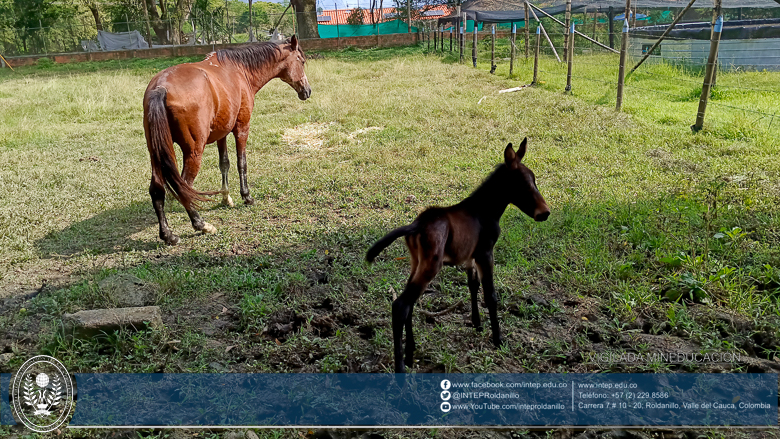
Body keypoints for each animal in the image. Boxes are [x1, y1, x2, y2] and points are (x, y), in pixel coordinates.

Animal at [143, 36, 310, 246]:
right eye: (301, 61)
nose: (307, 90)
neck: (239, 70)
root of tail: (160, 88)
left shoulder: (221, 134)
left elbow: (224, 164)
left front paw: (226, 197)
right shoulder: (241, 128)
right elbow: (241, 163)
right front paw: (246, 196)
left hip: (157, 154)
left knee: (157, 189)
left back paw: (168, 235)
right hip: (193, 153)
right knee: (184, 187)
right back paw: (201, 225)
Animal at [364, 139, 548, 372]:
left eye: (534, 180)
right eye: (523, 184)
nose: (544, 213)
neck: (485, 209)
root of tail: (416, 225)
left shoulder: (470, 258)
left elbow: (473, 286)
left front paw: (477, 324)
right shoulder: (486, 253)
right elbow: (491, 295)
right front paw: (498, 339)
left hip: (416, 262)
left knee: (409, 303)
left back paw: (411, 351)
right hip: (431, 265)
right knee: (401, 305)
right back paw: (401, 366)